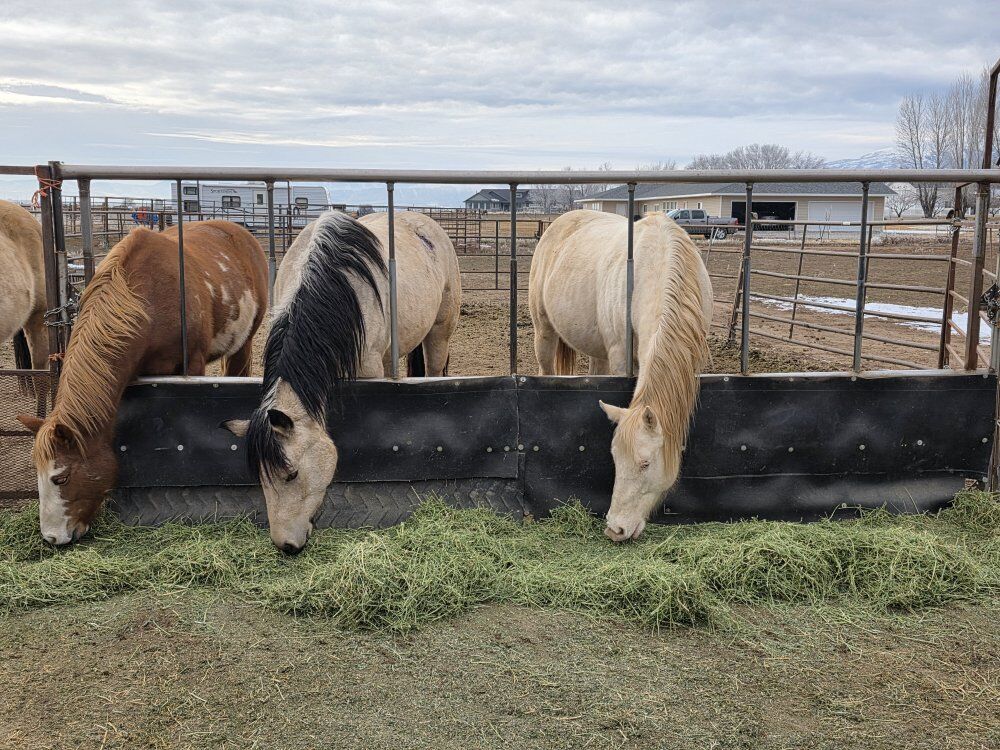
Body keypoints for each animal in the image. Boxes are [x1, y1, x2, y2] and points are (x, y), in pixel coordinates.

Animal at [528, 209, 712, 542]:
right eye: (614, 459)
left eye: (645, 463)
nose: (615, 529)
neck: (656, 264)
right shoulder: (620, 355)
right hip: (544, 333)